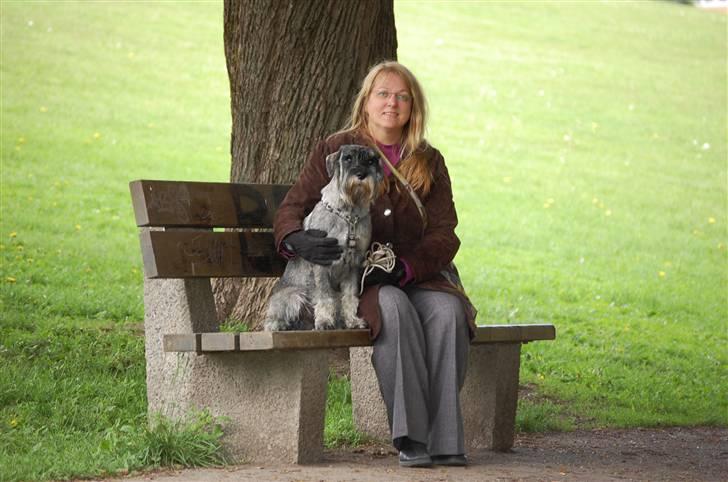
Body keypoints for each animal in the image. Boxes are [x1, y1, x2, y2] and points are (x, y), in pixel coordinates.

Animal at [264, 144, 384, 332]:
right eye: (348, 158)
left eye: (371, 160)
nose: (361, 175)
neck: (349, 214)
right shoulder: (322, 263)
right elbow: (324, 296)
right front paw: (325, 321)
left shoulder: (354, 264)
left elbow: (350, 296)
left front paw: (353, 320)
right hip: (294, 295)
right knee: (274, 317)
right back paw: (279, 325)